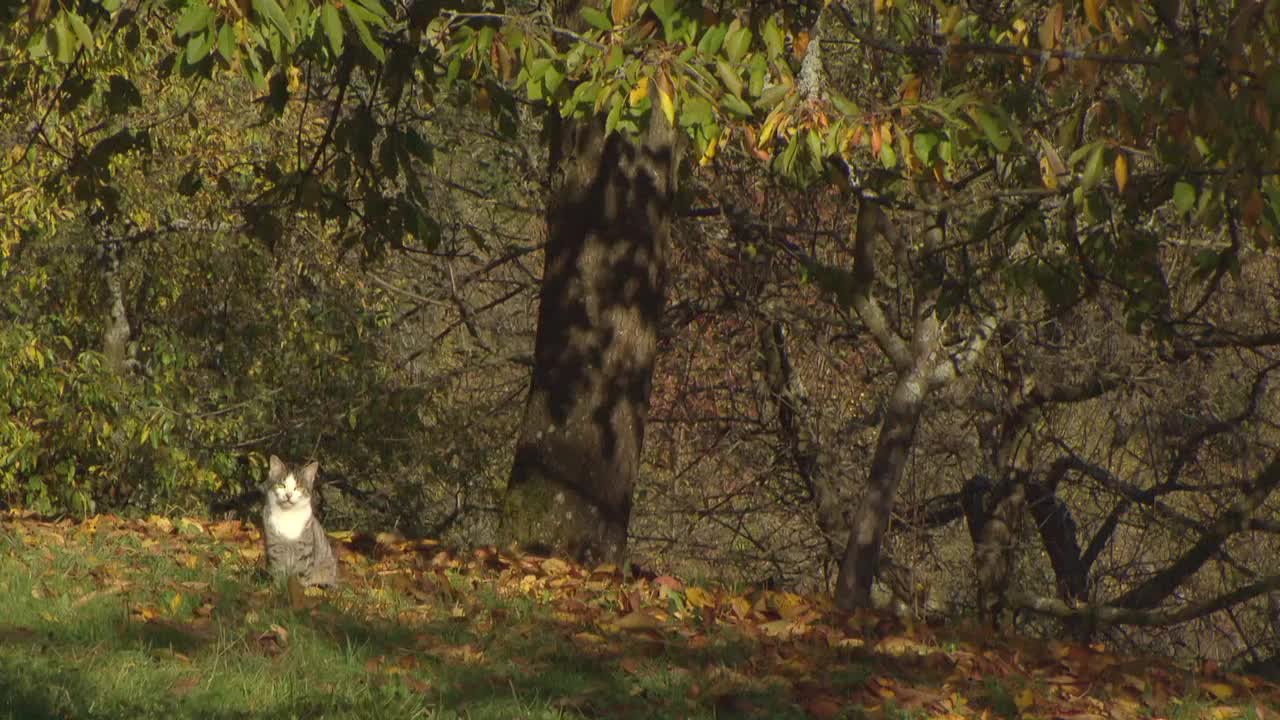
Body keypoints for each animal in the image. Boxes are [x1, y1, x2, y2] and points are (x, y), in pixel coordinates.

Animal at [262, 456, 340, 586]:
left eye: (298, 487)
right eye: (282, 485)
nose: (288, 495)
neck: (288, 515)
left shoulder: (305, 551)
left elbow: (302, 575)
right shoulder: (276, 548)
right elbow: (278, 572)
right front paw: (277, 587)